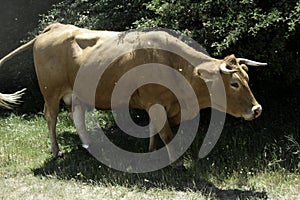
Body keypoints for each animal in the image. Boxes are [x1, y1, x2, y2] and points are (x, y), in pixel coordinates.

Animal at [0, 23, 268, 162]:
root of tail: (55, 27)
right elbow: (167, 134)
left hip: (76, 93)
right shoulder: (156, 103)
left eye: (247, 78)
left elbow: (153, 129)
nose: (257, 109)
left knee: (77, 115)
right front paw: (175, 163)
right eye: (234, 83)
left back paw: (89, 146)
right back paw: (56, 151)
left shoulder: (157, 104)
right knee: (51, 117)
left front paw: (151, 150)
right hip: (51, 92)